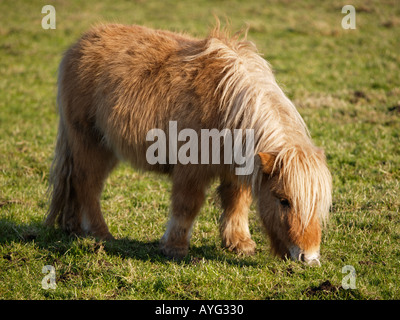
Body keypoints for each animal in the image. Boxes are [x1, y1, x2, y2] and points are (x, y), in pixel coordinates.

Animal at [46, 21, 332, 264]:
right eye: (283, 200)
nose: (309, 258)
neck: (226, 104)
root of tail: (81, 43)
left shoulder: (238, 169)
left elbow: (236, 202)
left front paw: (239, 244)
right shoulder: (191, 170)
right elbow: (187, 204)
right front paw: (175, 248)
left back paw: (73, 228)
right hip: (91, 144)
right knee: (87, 184)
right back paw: (100, 233)